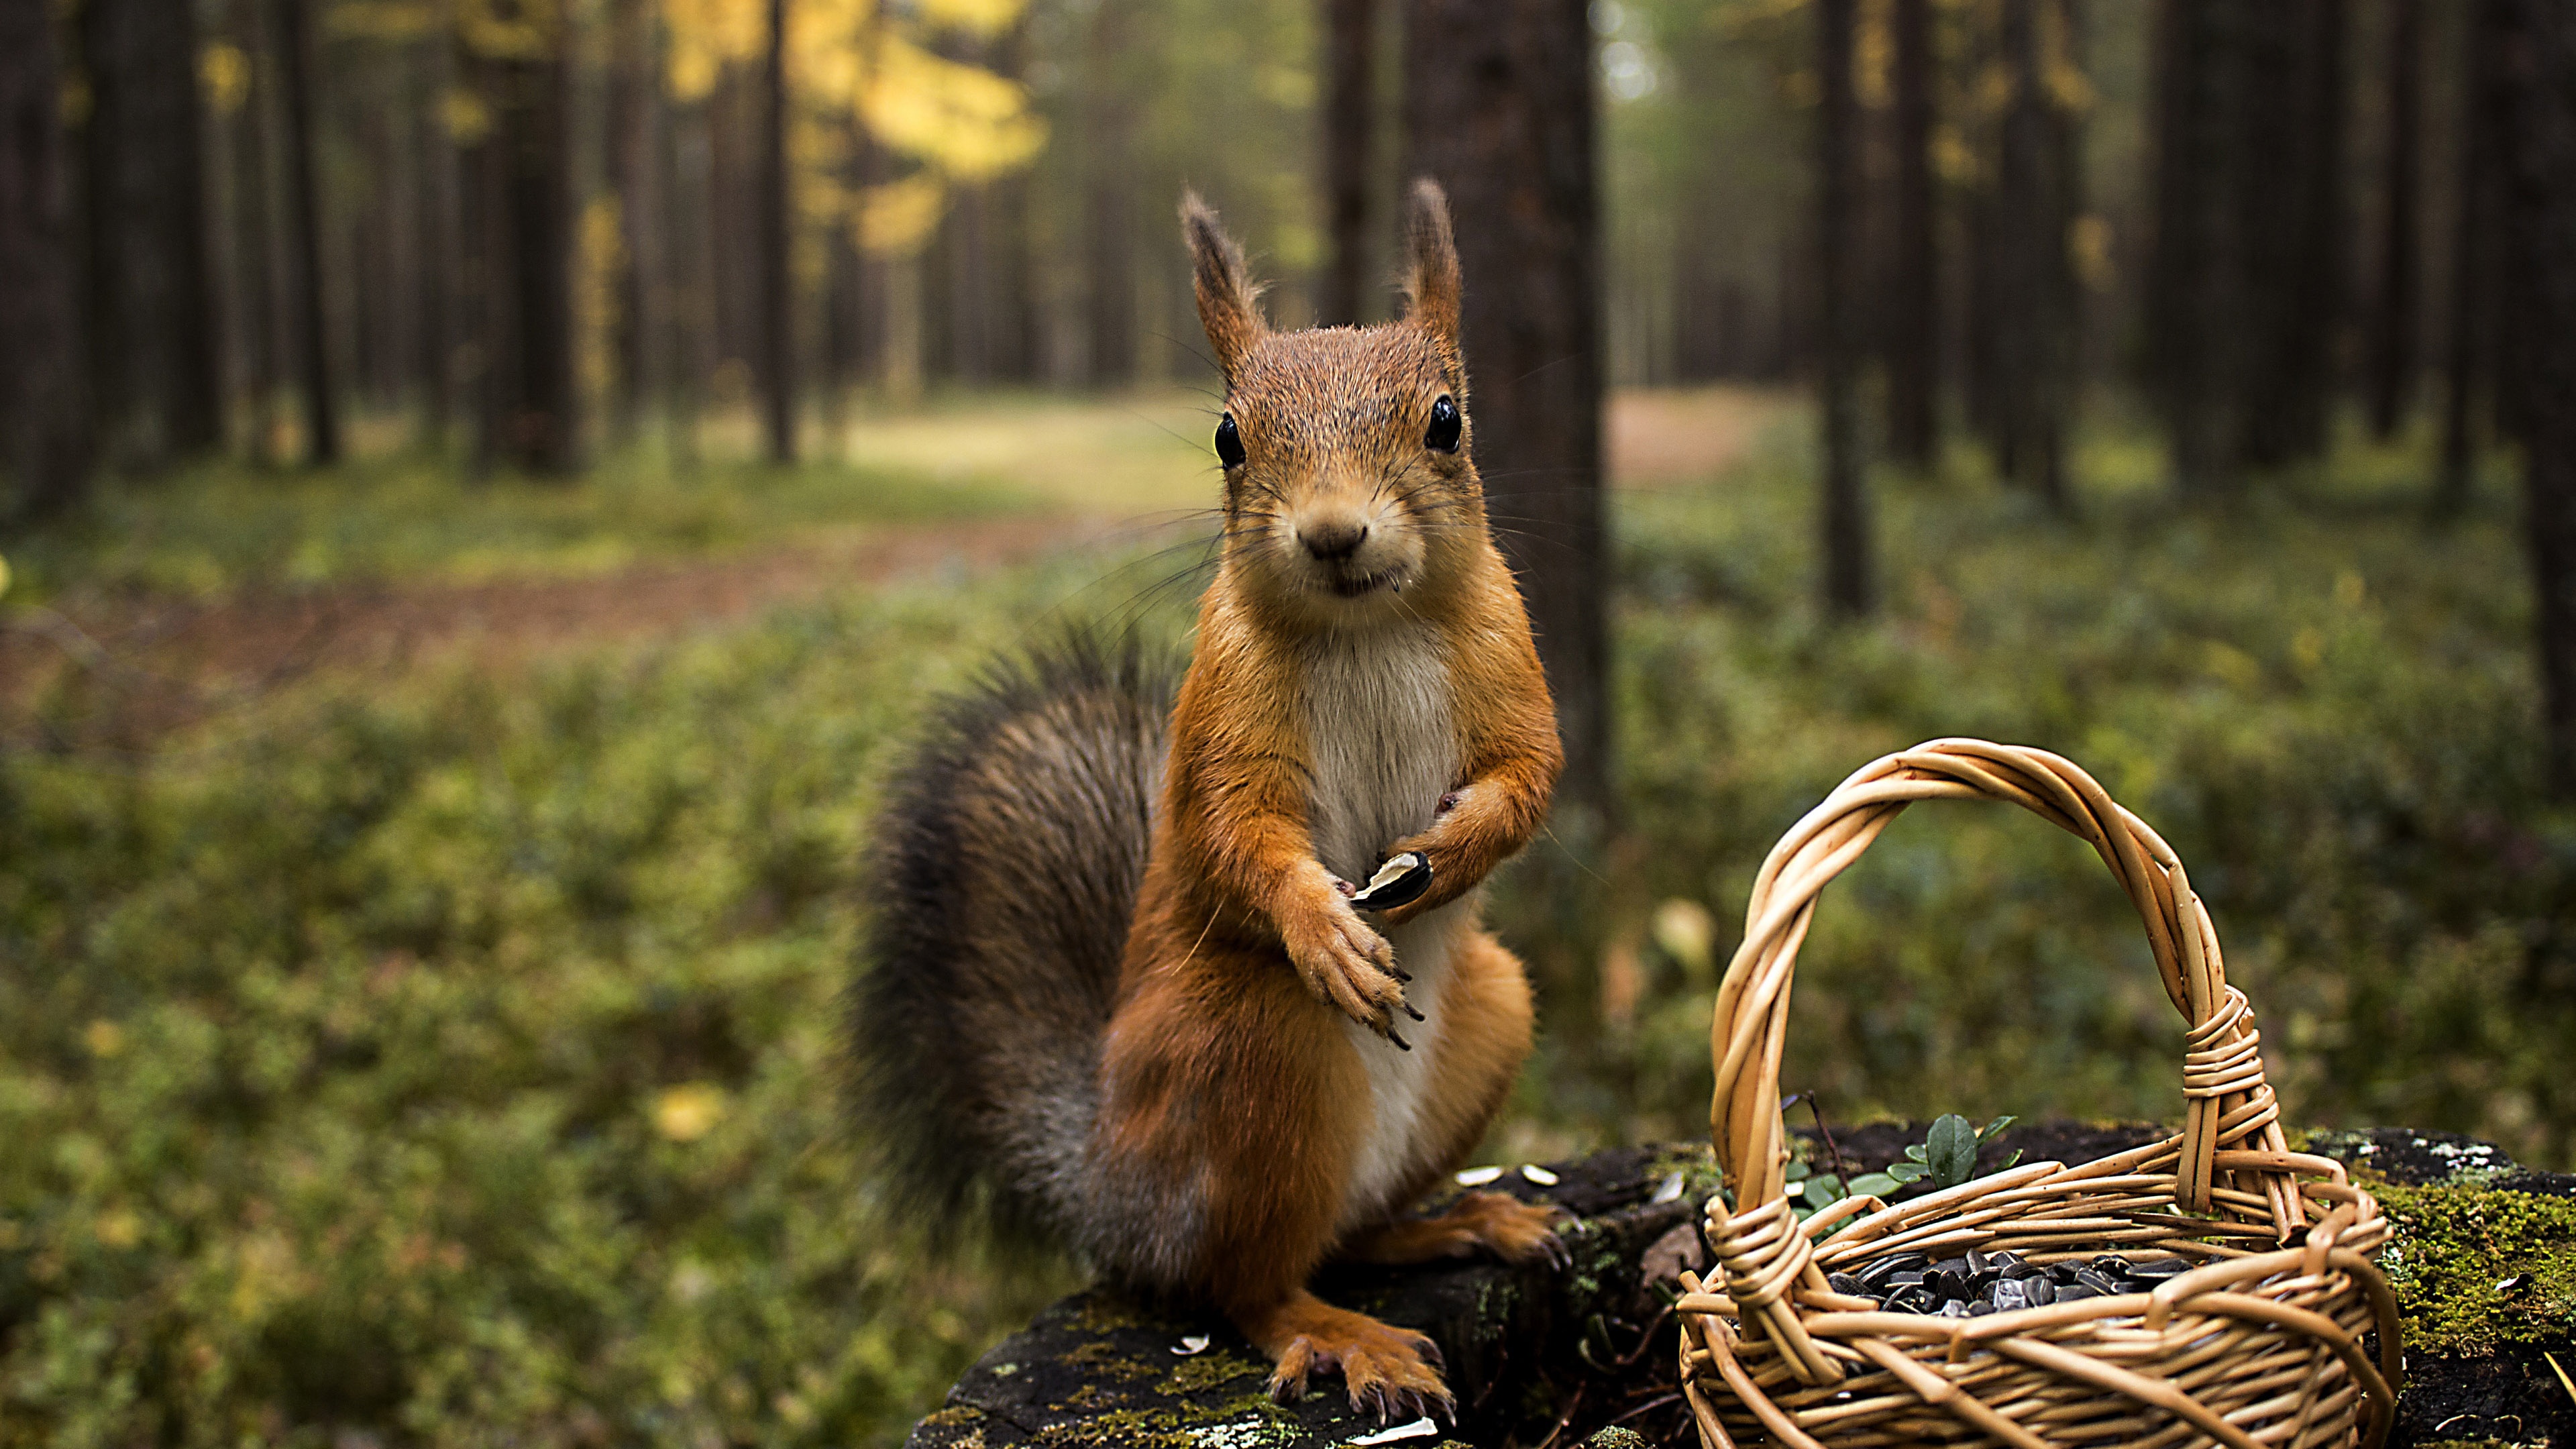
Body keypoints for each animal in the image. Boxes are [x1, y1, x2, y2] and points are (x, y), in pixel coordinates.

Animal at [855, 180, 1556, 1423]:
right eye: (1230, 438)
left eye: (1446, 420)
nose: (1333, 533)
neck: (1369, 627)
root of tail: (1110, 1191)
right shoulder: (1224, 715)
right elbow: (1238, 834)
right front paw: (1326, 929)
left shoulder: (1511, 665)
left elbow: (1528, 777)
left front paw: (1449, 854)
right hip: (1249, 1051)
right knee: (1244, 1282)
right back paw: (1341, 1333)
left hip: (1492, 1014)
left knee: (1348, 1234)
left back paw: (1457, 1222)